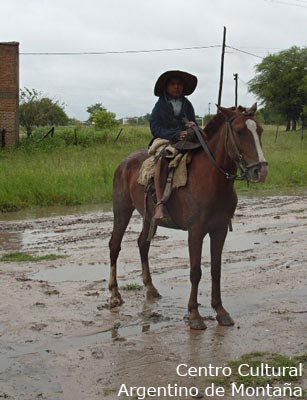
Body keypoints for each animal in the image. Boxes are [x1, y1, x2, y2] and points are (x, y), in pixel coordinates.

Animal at [109, 104, 268, 330]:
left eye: (260, 130)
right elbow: (195, 272)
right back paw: (114, 294)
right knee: (115, 245)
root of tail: (124, 163)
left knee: (143, 244)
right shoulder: (195, 232)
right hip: (122, 209)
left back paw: (151, 288)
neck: (211, 179)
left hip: (149, 217)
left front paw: (220, 311)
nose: (260, 171)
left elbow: (216, 270)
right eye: (239, 132)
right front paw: (194, 315)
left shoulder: (219, 230)